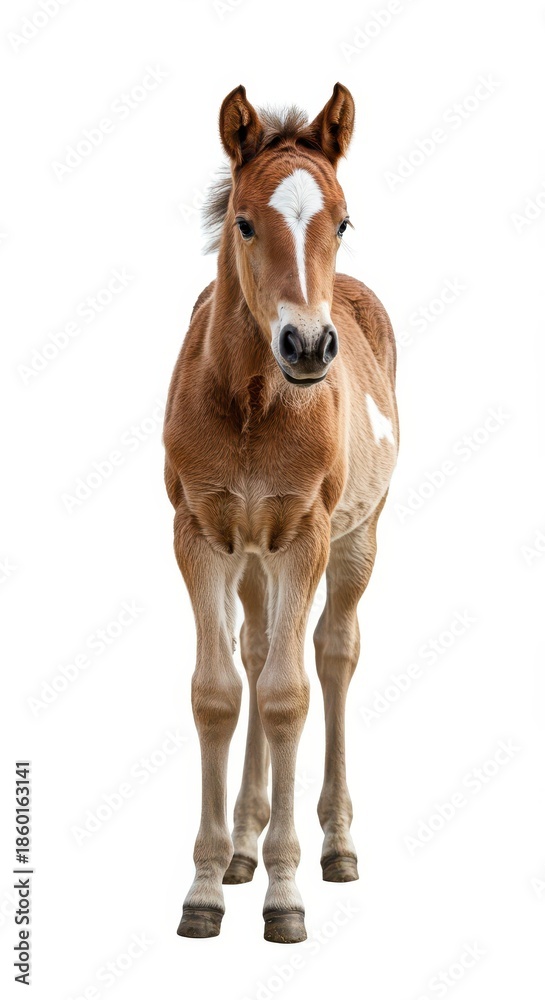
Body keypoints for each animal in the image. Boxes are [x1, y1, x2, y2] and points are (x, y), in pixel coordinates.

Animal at [163, 82, 398, 944]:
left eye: (342, 220)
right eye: (243, 220)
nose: (306, 347)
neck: (253, 406)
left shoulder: (304, 536)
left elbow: (286, 696)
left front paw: (286, 893)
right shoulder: (200, 534)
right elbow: (220, 692)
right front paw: (205, 886)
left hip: (355, 537)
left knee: (329, 654)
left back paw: (335, 846)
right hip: (252, 557)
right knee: (259, 648)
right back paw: (241, 847)